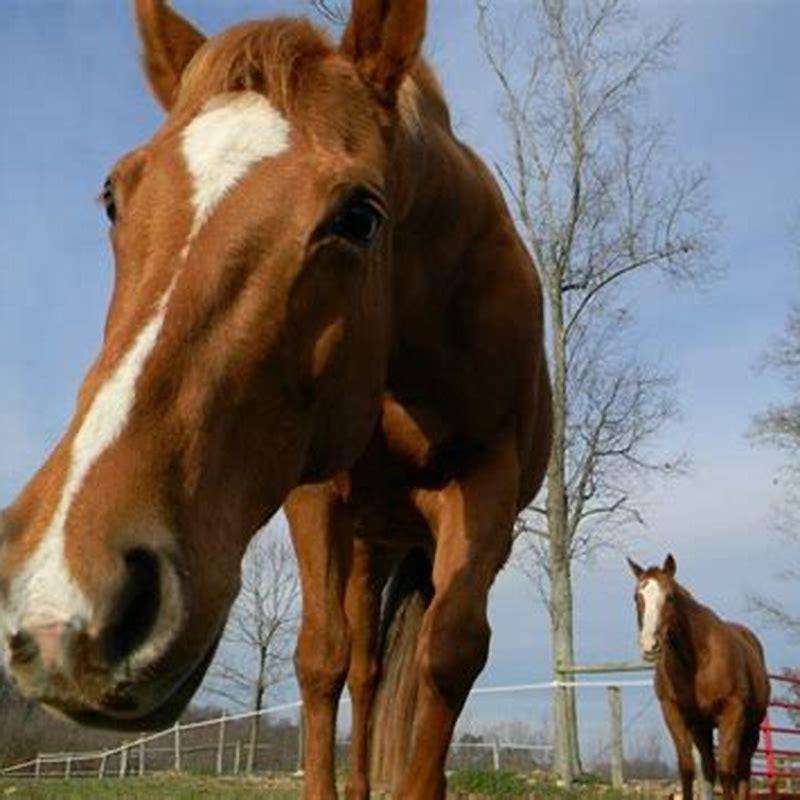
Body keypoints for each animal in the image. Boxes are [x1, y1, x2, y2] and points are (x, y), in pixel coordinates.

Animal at [0, 1, 552, 798]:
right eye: (113, 195)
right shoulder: (315, 496)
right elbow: (322, 660)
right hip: (367, 544)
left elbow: (449, 654)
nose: (63, 596)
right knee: (364, 670)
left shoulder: (486, 482)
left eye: (360, 215)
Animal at [627, 555, 770, 800]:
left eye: (669, 597)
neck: (698, 661)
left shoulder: (731, 712)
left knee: (742, 771)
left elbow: (727, 772)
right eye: (637, 597)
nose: (649, 646)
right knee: (710, 769)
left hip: (751, 728)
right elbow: (687, 769)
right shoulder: (674, 713)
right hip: (702, 728)